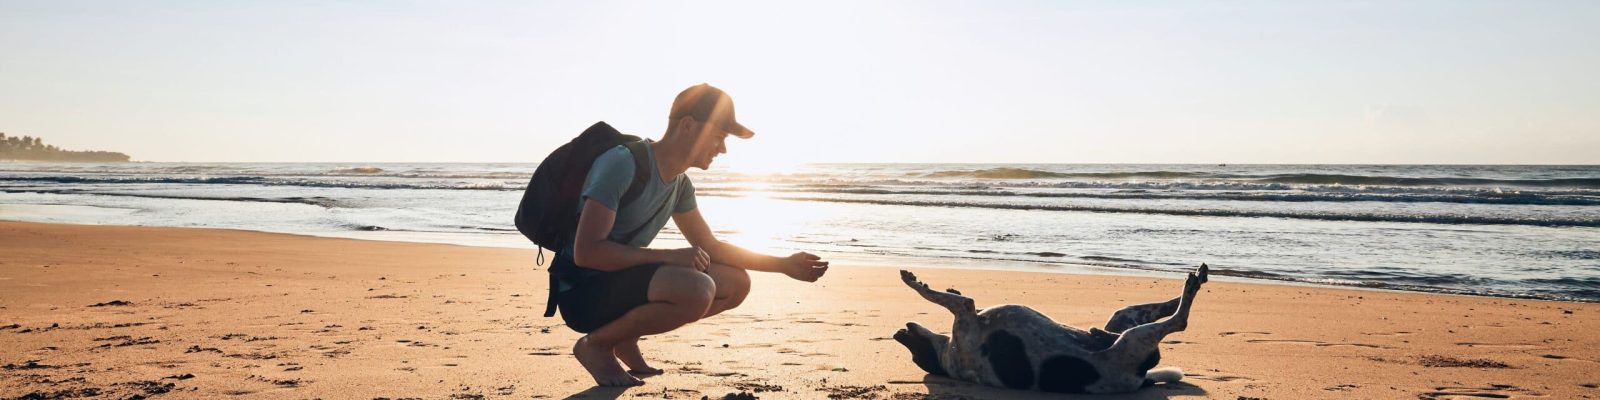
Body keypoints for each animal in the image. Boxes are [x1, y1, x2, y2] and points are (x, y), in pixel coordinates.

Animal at [896, 262, 1203, 393]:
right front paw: (913, 281)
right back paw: (1192, 284)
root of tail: (1143, 377)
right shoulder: (966, 311)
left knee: (1152, 313)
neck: (947, 356)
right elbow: (930, 294)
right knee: (1179, 321)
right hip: (1134, 339)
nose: (901, 329)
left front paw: (944, 286)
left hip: (1123, 319)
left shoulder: (966, 313)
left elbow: (943, 295)